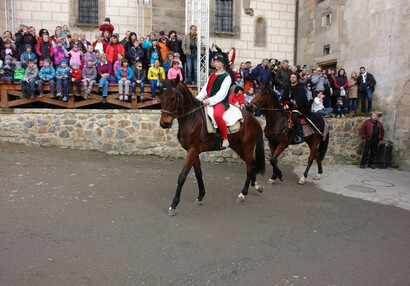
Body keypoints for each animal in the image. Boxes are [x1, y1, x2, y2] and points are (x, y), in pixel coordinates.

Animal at [157, 77, 266, 216]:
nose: (164, 124)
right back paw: (256, 186)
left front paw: (173, 205)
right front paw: (200, 197)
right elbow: (198, 173)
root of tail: (254, 119)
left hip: (247, 147)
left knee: (249, 166)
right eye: (160, 96)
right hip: (238, 147)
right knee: (252, 163)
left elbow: (182, 177)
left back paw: (242, 194)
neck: (191, 119)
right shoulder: (193, 151)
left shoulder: (192, 150)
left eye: (172, 98)